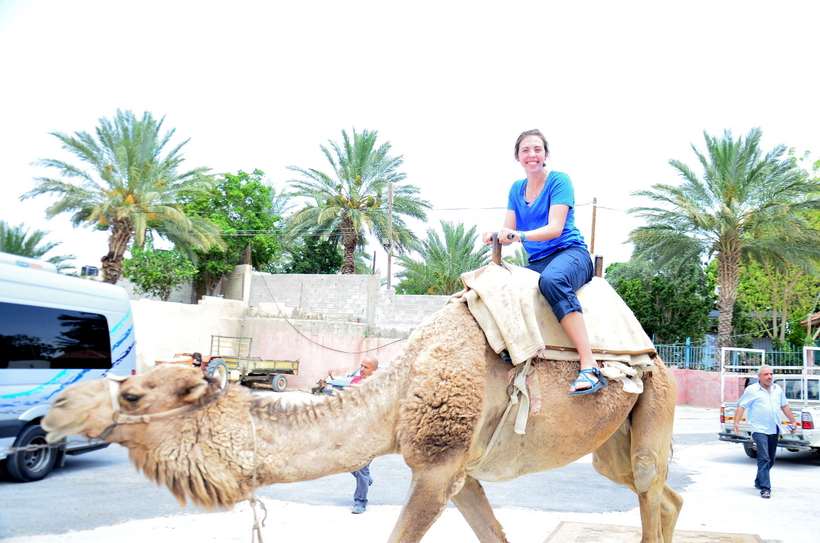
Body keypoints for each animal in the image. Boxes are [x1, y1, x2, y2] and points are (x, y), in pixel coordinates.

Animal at [41, 302, 684, 543]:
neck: (395, 399)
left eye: (131, 394)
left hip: (656, 399)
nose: (57, 408)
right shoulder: (462, 474)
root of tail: (656, 353)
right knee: (663, 494)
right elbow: (494, 535)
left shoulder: (437, 470)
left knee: (649, 484)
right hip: (610, 444)